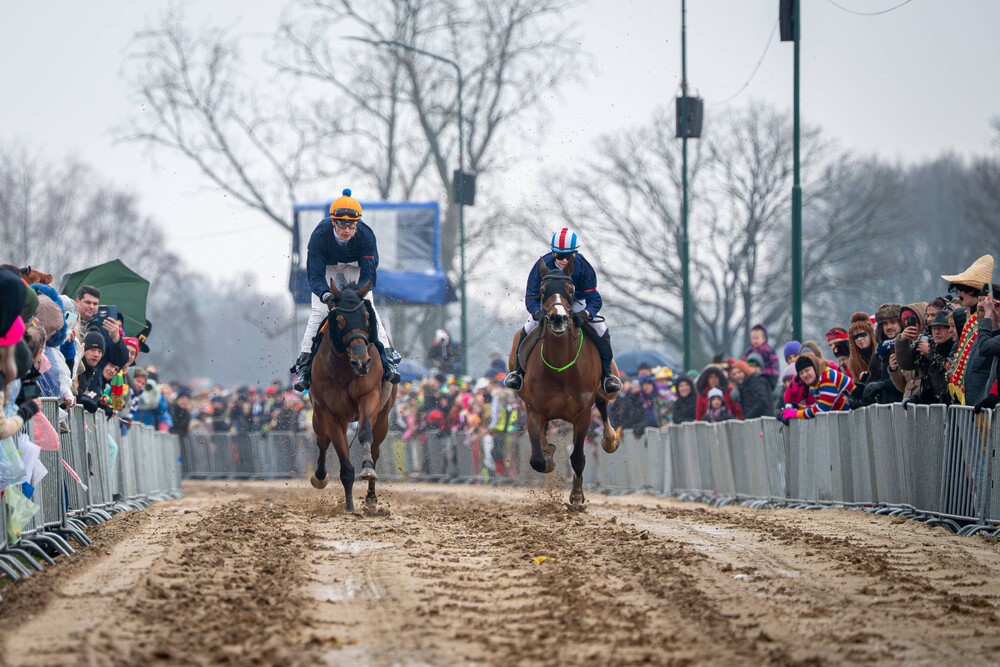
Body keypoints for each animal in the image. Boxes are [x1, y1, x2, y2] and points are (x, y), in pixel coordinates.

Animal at [308, 278, 398, 513]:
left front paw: (366, 470)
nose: (362, 362)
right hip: (318, 416)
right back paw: (319, 477)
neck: (345, 368)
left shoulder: (369, 397)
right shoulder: (330, 413)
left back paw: (371, 497)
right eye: (339, 320)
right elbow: (343, 459)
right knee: (322, 441)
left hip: (383, 419)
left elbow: (365, 433)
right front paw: (349, 505)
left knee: (375, 448)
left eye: (367, 316)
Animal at [507, 261, 621, 506]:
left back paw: (610, 440)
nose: (557, 318)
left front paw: (577, 496)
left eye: (570, 289)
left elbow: (577, 456)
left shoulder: (583, 413)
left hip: (606, 389)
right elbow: (537, 459)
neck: (561, 368)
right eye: (542, 289)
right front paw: (548, 455)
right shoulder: (534, 409)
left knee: (604, 404)